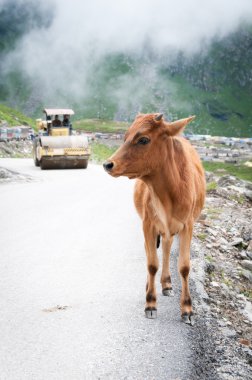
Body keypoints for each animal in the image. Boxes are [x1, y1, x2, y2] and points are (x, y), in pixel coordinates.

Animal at [103, 113, 206, 324]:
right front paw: (150, 303)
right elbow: (151, 264)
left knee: (166, 248)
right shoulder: (148, 224)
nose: (108, 164)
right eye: (125, 137)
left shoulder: (188, 225)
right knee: (154, 252)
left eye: (143, 139)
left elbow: (184, 267)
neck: (167, 195)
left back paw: (166, 284)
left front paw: (187, 309)